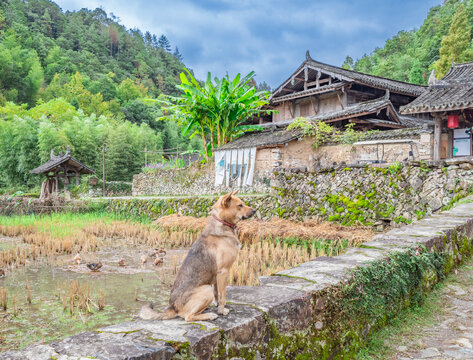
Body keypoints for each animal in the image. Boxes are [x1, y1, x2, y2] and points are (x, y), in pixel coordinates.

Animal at [138, 190, 254, 322]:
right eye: (240, 205)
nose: (255, 210)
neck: (221, 223)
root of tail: (173, 307)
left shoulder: (216, 276)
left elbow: (217, 294)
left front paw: (217, 306)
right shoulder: (223, 272)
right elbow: (222, 295)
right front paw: (222, 310)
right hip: (206, 289)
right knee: (188, 317)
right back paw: (209, 315)